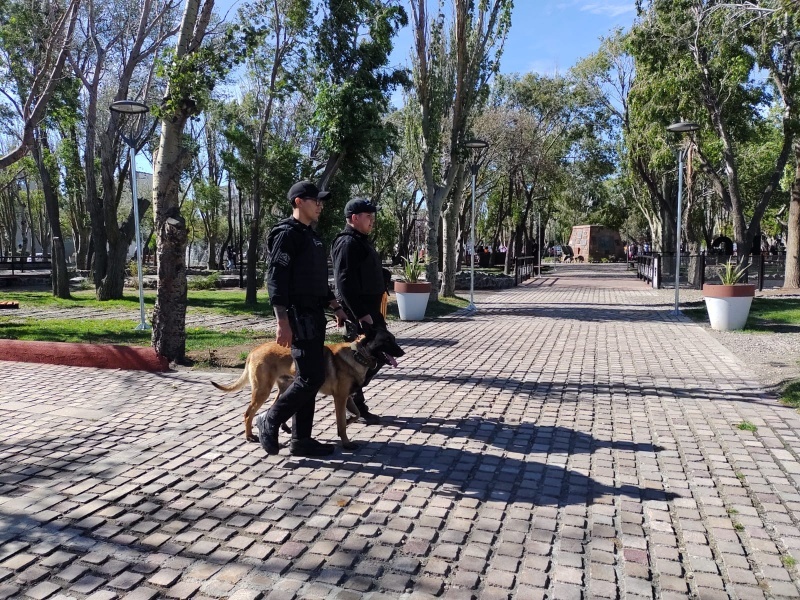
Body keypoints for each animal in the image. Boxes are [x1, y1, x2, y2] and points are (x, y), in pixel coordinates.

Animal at [211, 326, 404, 448]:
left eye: (393, 339)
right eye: (386, 341)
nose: (402, 352)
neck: (358, 355)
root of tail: (254, 350)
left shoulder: (347, 397)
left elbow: (355, 414)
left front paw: (350, 420)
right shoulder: (340, 398)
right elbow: (341, 423)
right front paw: (346, 442)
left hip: (285, 388)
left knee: (275, 406)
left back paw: (281, 427)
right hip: (262, 391)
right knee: (248, 413)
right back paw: (250, 436)